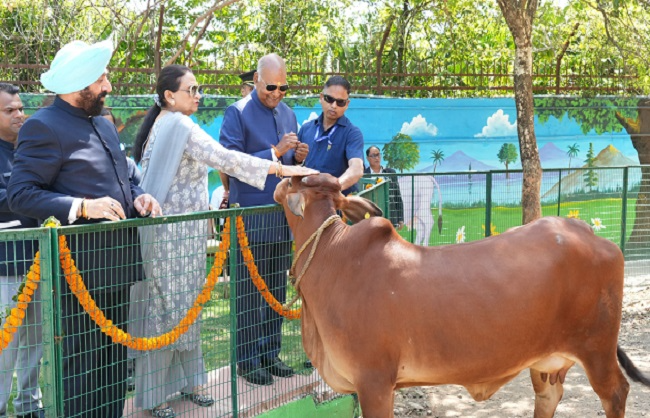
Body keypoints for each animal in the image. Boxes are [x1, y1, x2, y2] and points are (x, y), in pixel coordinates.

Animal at [272, 173, 648, 418]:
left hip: (596, 348)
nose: (278, 180)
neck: (330, 254)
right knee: (549, 396)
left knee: (616, 392)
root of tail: (590, 234)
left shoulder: (374, 381)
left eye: (292, 182)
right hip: (547, 359)